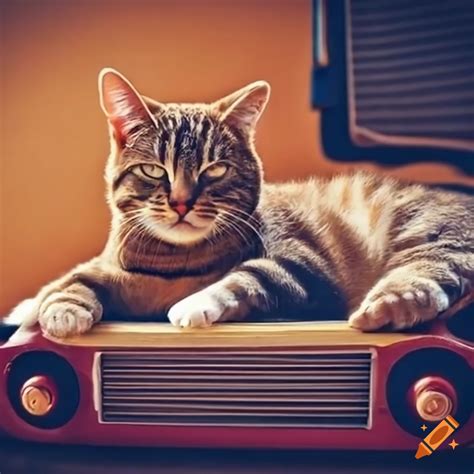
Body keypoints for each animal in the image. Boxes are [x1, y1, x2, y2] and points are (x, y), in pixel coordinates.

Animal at [4, 69, 474, 336]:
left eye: (215, 170)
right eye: (155, 170)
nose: (181, 203)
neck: (167, 264)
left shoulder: (303, 269)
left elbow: (248, 277)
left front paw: (195, 304)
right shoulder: (114, 271)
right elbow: (74, 278)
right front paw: (51, 308)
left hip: (437, 237)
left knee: (425, 279)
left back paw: (384, 309)